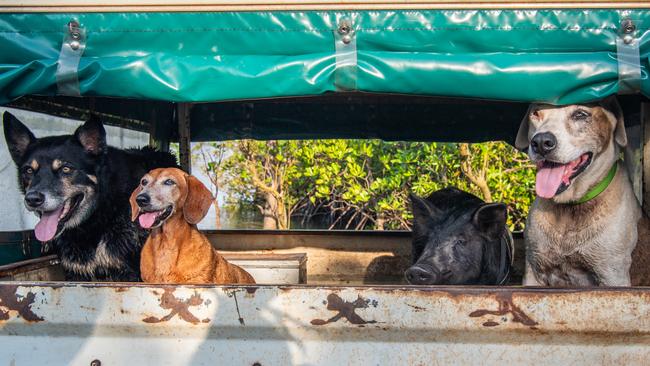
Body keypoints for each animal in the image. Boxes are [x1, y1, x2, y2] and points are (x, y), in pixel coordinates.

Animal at [516, 96, 648, 286]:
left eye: (580, 114)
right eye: (536, 113)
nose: (541, 143)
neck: (569, 208)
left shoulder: (613, 275)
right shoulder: (534, 272)